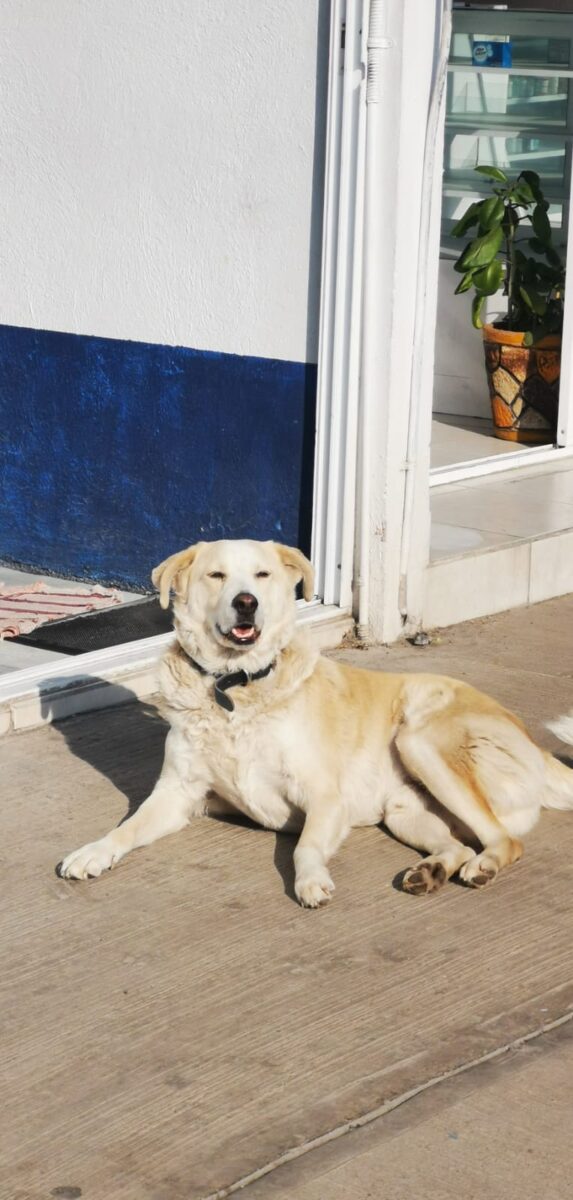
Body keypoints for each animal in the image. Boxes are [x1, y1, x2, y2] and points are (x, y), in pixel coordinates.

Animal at [58, 540, 573, 902]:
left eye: (262, 574)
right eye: (216, 574)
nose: (246, 602)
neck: (236, 686)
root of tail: (534, 746)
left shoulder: (325, 799)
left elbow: (304, 846)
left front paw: (309, 881)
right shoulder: (178, 795)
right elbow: (125, 828)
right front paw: (92, 852)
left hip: (419, 741)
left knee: (505, 842)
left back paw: (481, 867)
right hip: (404, 810)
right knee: (460, 845)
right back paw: (431, 872)